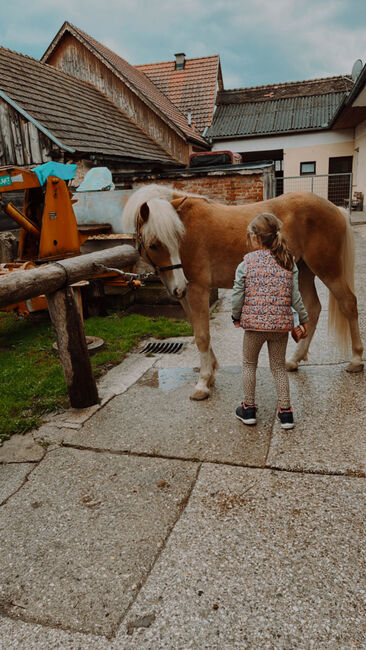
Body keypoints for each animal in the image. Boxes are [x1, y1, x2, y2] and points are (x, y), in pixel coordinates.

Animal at [122, 185, 364, 400]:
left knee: (348, 304)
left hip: (328, 270)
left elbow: (202, 336)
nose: (180, 286)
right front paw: (211, 372)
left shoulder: (197, 290)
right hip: (304, 270)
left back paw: (356, 359)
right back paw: (294, 360)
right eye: (154, 245)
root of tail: (336, 209)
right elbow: (197, 329)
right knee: (313, 309)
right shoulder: (185, 296)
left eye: (177, 239)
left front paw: (203, 383)